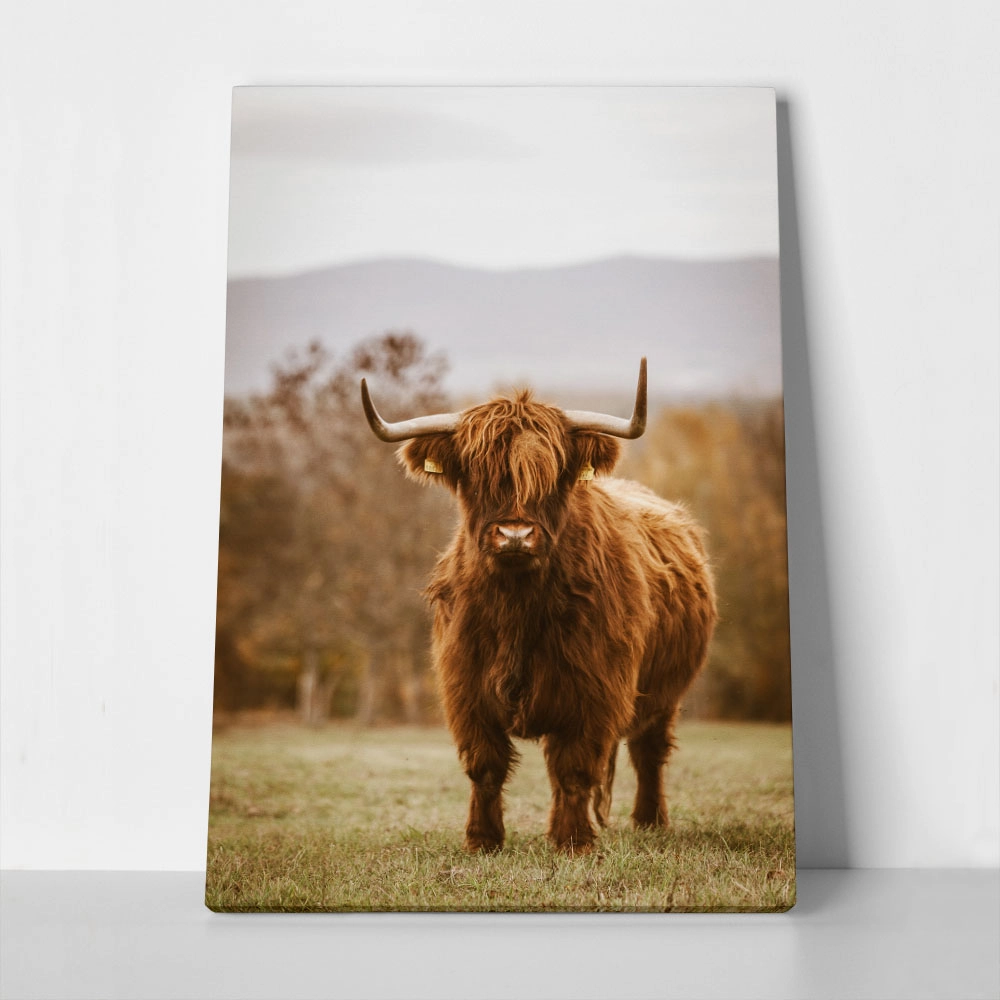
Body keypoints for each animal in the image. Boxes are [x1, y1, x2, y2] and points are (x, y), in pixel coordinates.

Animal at [361, 359, 717, 854]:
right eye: (476, 475)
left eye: (553, 476)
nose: (515, 535)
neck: (517, 607)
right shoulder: (465, 687)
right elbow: (486, 767)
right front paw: (483, 840)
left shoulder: (595, 690)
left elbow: (575, 767)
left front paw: (574, 842)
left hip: (666, 692)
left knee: (648, 751)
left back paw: (650, 822)